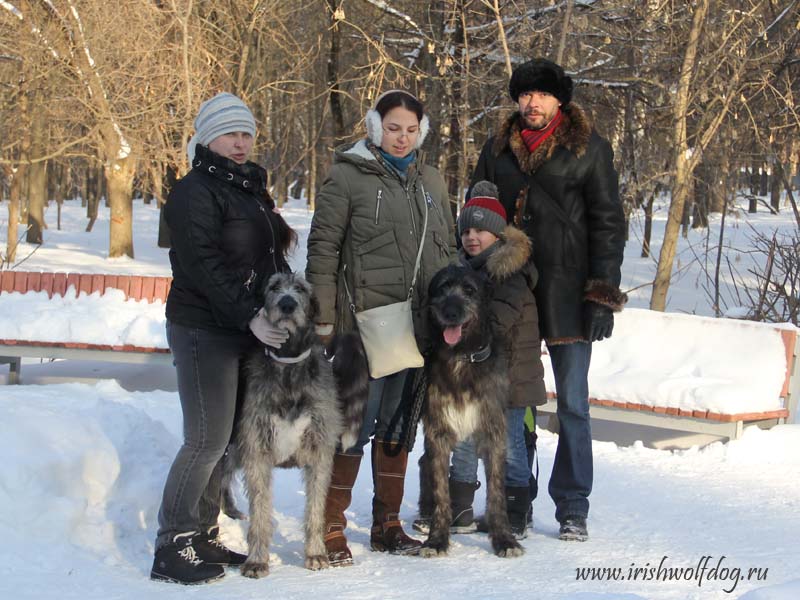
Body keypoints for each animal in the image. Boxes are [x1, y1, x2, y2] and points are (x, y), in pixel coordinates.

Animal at [220, 274, 368, 580]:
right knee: (219, 472)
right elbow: (260, 510)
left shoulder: (319, 453)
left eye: (300, 288)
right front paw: (256, 560)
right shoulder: (257, 449)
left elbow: (315, 510)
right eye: (274, 286)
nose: (287, 304)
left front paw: (316, 554)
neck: (288, 366)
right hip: (235, 442)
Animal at [418, 266, 524, 556]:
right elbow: (441, 490)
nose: (451, 312)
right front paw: (437, 539)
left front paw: (504, 539)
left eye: (469, 290)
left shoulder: (493, 430)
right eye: (442, 288)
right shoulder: (437, 430)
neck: (461, 357)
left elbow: (497, 490)